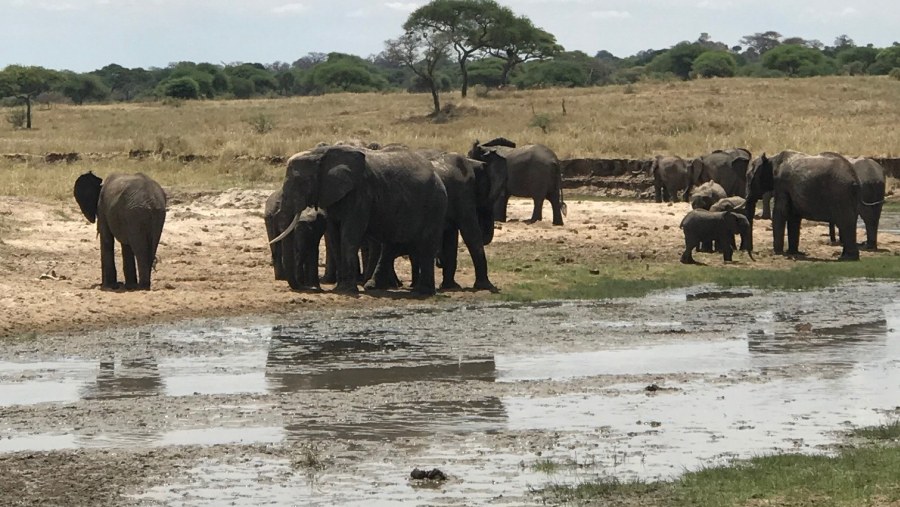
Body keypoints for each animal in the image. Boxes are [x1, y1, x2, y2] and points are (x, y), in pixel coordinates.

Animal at [272, 145, 444, 296]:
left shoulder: (360, 193)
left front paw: (346, 290)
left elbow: (349, 234)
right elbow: (334, 235)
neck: (320, 153)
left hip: (435, 204)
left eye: (301, 182)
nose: (307, 288)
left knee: (426, 245)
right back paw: (374, 287)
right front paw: (340, 288)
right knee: (390, 245)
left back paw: (423, 292)